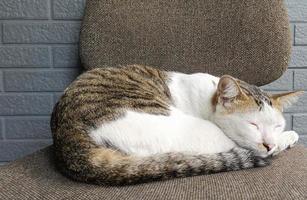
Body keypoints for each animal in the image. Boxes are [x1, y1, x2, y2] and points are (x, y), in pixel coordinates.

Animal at [51, 65, 304, 185]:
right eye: (253, 124)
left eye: (276, 126)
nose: (269, 143)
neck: (208, 96)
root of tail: (69, 140)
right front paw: (287, 138)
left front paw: (284, 137)